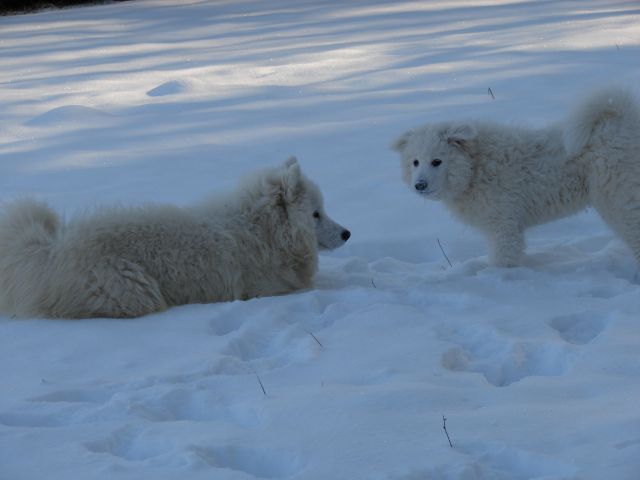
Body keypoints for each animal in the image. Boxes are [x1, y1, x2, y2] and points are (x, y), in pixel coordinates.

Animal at [0, 158, 350, 318]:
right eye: (316, 214)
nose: (347, 233)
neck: (261, 230)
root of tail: (53, 251)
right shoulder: (264, 289)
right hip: (133, 292)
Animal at [392, 88, 640, 268]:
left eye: (437, 161)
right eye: (415, 162)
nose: (419, 185)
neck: (474, 168)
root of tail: (624, 122)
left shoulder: (503, 223)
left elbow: (503, 259)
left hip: (617, 197)